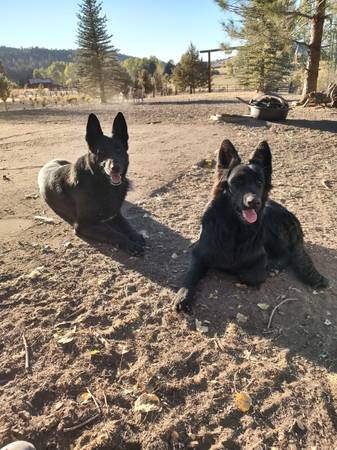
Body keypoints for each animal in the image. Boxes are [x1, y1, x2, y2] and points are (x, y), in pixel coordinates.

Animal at [38, 111, 146, 256]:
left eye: (119, 149)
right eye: (101, 152)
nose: (115, 168)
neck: (100, 183)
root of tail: (50, 162)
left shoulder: (116, 214)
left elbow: (126, 224)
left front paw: (135, 235)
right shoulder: (83, 225)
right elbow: (112, 232)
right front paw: (130, 244)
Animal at [175, 140, 326, 312]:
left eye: (259, 182)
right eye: (236, 182)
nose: (254, 202)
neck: (233, 228)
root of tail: (292, 217)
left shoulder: (258, 259)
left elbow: (250, 275)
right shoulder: (198, 254)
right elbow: (190, 275)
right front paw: (183, 295)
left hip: (269, 218)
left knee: (286, 253)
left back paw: (273, 266)